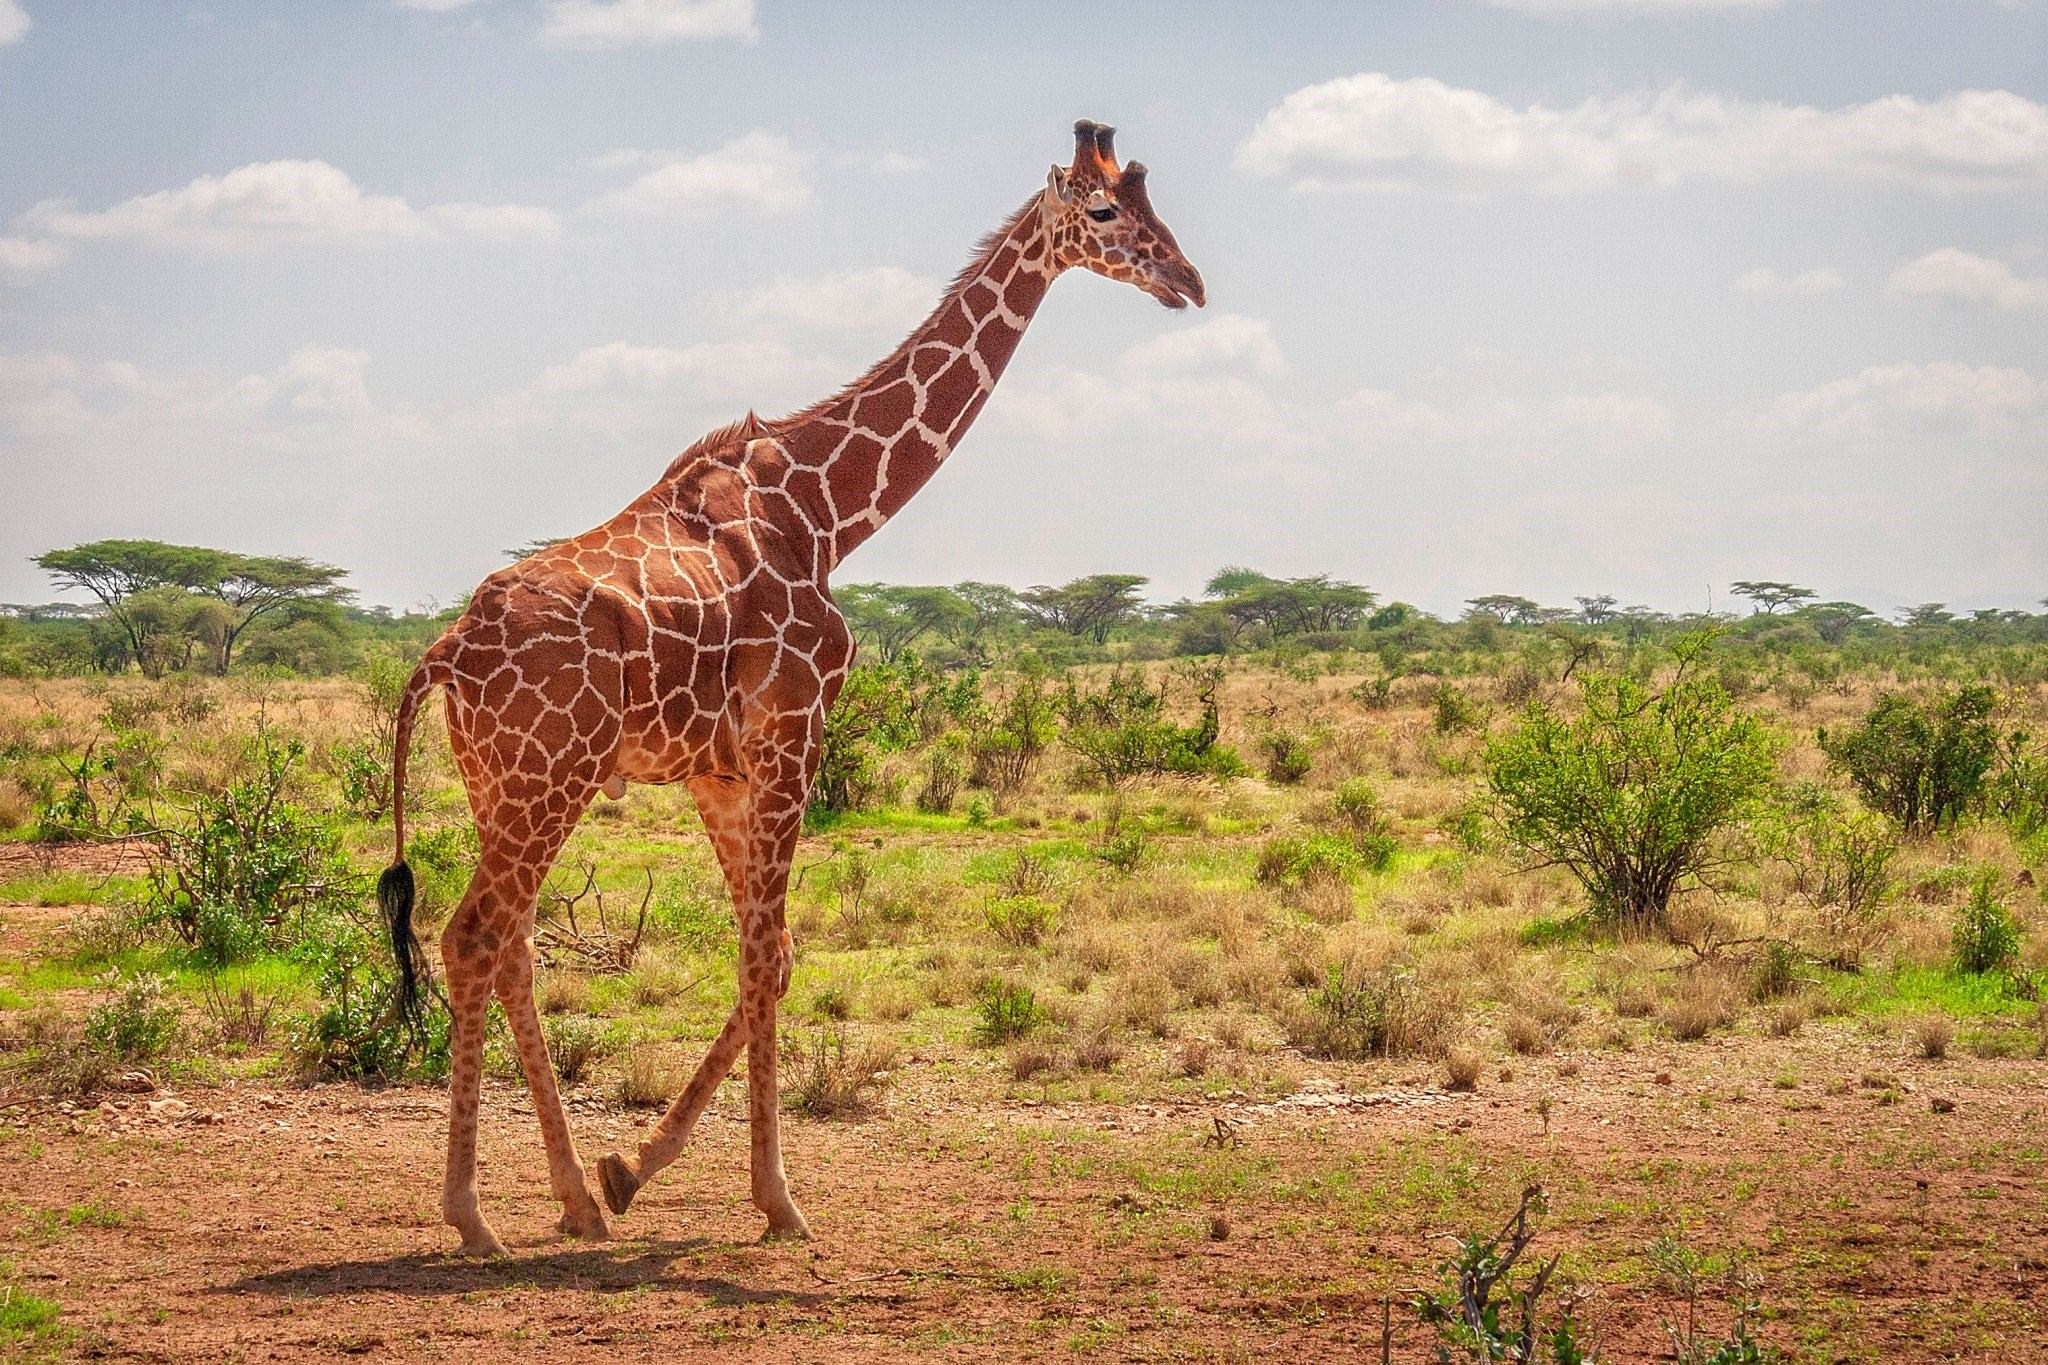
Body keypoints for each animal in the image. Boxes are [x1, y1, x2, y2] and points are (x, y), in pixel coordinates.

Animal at [380, 122, 1196, 1252]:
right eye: (1107, 212)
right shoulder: (793, 732)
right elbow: (769, 956)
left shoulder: (721, 770)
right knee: (474, 938)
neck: (829, 510)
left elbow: (769, 952)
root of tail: (447, 651)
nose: (1188, 281)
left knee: (513, 948)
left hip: (499, 782)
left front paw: (631, 1168)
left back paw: (576, 1199)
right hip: (551, 775)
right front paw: (775, 1199)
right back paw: (472, 1216)